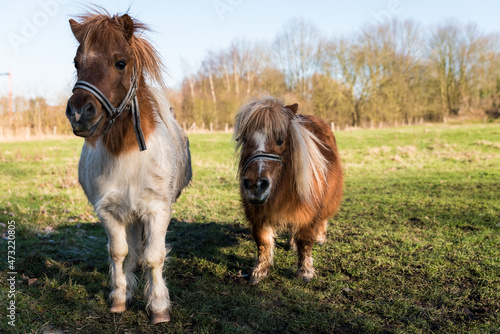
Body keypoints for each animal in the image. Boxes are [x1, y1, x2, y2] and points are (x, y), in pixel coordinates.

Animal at [66, 11, 191, 324]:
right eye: (77, 63)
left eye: (120, 62)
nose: (78, 113)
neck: (127, 153)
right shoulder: (109, 212)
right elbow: (119, 253)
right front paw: (120, 298)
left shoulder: (157, 210)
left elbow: (154, 256)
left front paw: (158, 307)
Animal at [232, 96, 342, 284]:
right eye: (244, 140)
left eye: (280, 140)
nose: (255, 185)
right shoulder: (258, 213)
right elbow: (263, 241)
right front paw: (260, 271)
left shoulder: (309, 211)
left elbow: (305, 240)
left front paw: (305, 271)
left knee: (323, 219)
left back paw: (320, 237)